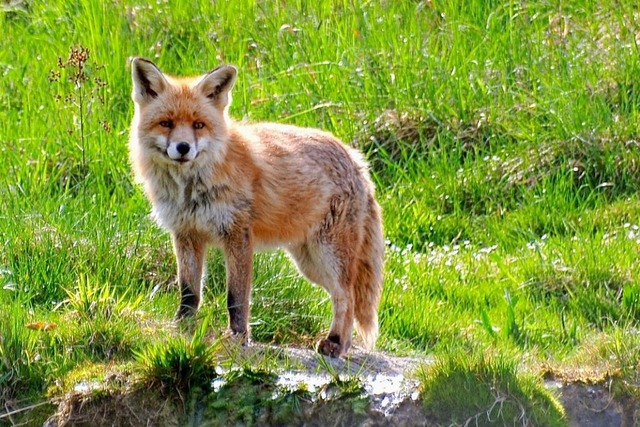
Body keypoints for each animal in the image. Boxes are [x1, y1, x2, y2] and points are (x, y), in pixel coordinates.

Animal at [127, 56, 382, 358]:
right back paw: (342, 345)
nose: (183, 147)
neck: (191, 187)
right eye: (166, 123)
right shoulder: (187, 234)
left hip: (327, 255)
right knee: (344, 296)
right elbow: (189, 291)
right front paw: (183, 327)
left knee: (347, 297)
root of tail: (355, 158)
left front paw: (238, 337)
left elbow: (236, 296)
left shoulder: (238, 235)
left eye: (199, 125)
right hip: (309, 262)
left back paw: (335, 343)